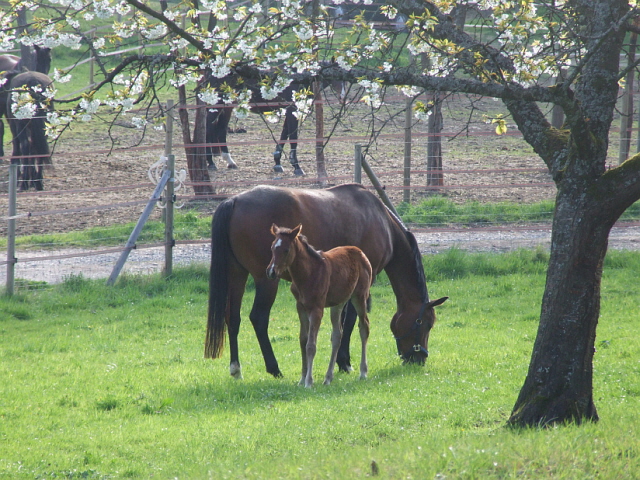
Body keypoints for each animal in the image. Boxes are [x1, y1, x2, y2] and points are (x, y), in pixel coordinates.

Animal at [205, 76, 344, 177]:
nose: (342, 97)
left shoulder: (289, 112)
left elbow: (284, 135)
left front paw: (277, 163)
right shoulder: (292, 111)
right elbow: (293, 138)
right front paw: (297, 168)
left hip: (227, 107)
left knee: (220, 131)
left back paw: (230, 162)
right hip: (216, 107)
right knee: (208, 130)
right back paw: (211, 163)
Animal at [266, 224, 376, 386]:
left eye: (286, 250)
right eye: (272, 247)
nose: (271, 272)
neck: (308, 274)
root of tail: (360, 251)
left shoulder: (317, 309)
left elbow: (311, 345)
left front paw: (309, 381)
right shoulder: (300, 307)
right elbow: (303, 340)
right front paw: (302, 379)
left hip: (359, 296)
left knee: (364, 327)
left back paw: (363, 372)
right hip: (338, 303)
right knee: (337, 335)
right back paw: (328, 377)